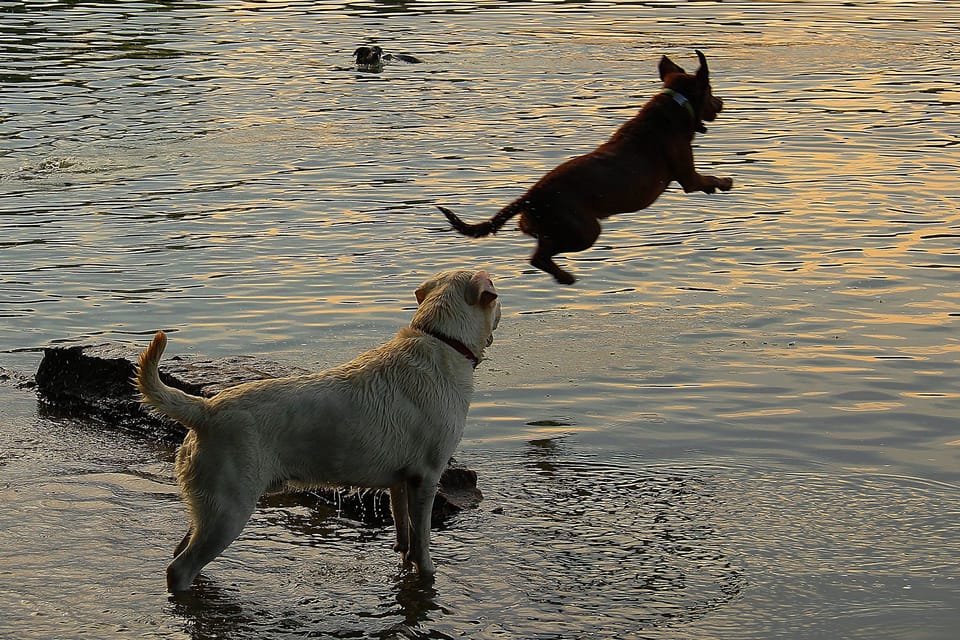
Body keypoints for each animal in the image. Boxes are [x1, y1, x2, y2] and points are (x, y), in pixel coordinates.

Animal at [139, 268, 506, 592]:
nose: (503, 308)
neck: (443, 341)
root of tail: (205, 409)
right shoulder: (427, 477)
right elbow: (423, 539)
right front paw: (428, 571)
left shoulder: (401, 482)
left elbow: (405, 533)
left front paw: (405, 560)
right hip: (230, 508)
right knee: (180, 567)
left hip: (209, 503)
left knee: (181, 550)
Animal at [442, 51, 736, 286]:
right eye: (711, 91)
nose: (722, 102)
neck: (674, 108)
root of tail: (529, 197)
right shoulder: (689, 177)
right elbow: (707, 178)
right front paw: (724, 182)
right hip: (585, 231)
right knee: (539, 257)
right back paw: (564, 276)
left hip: (547, 227)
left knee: (538, 249)